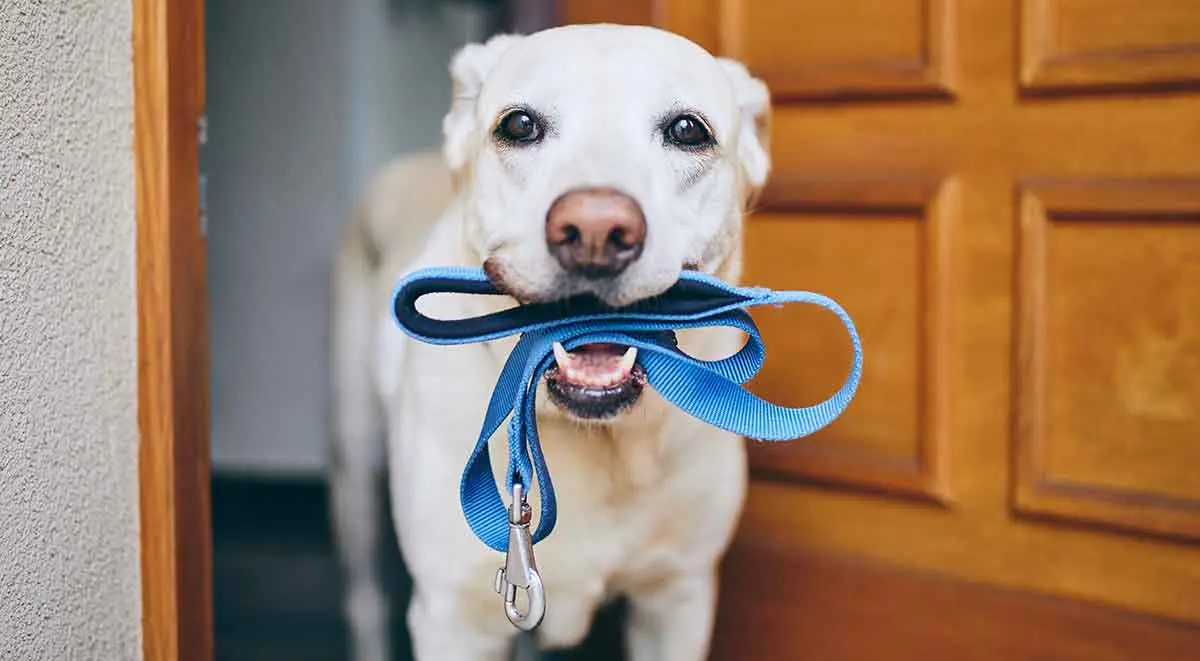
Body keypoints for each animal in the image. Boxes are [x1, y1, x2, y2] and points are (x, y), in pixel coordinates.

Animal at [333, 22, 772, 661]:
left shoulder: (677, 599)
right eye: (519, 125)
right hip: (354, 472)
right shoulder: (453, 620)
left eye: (688, 130)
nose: (594, 229)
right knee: (363, 599)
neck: (596, 439)